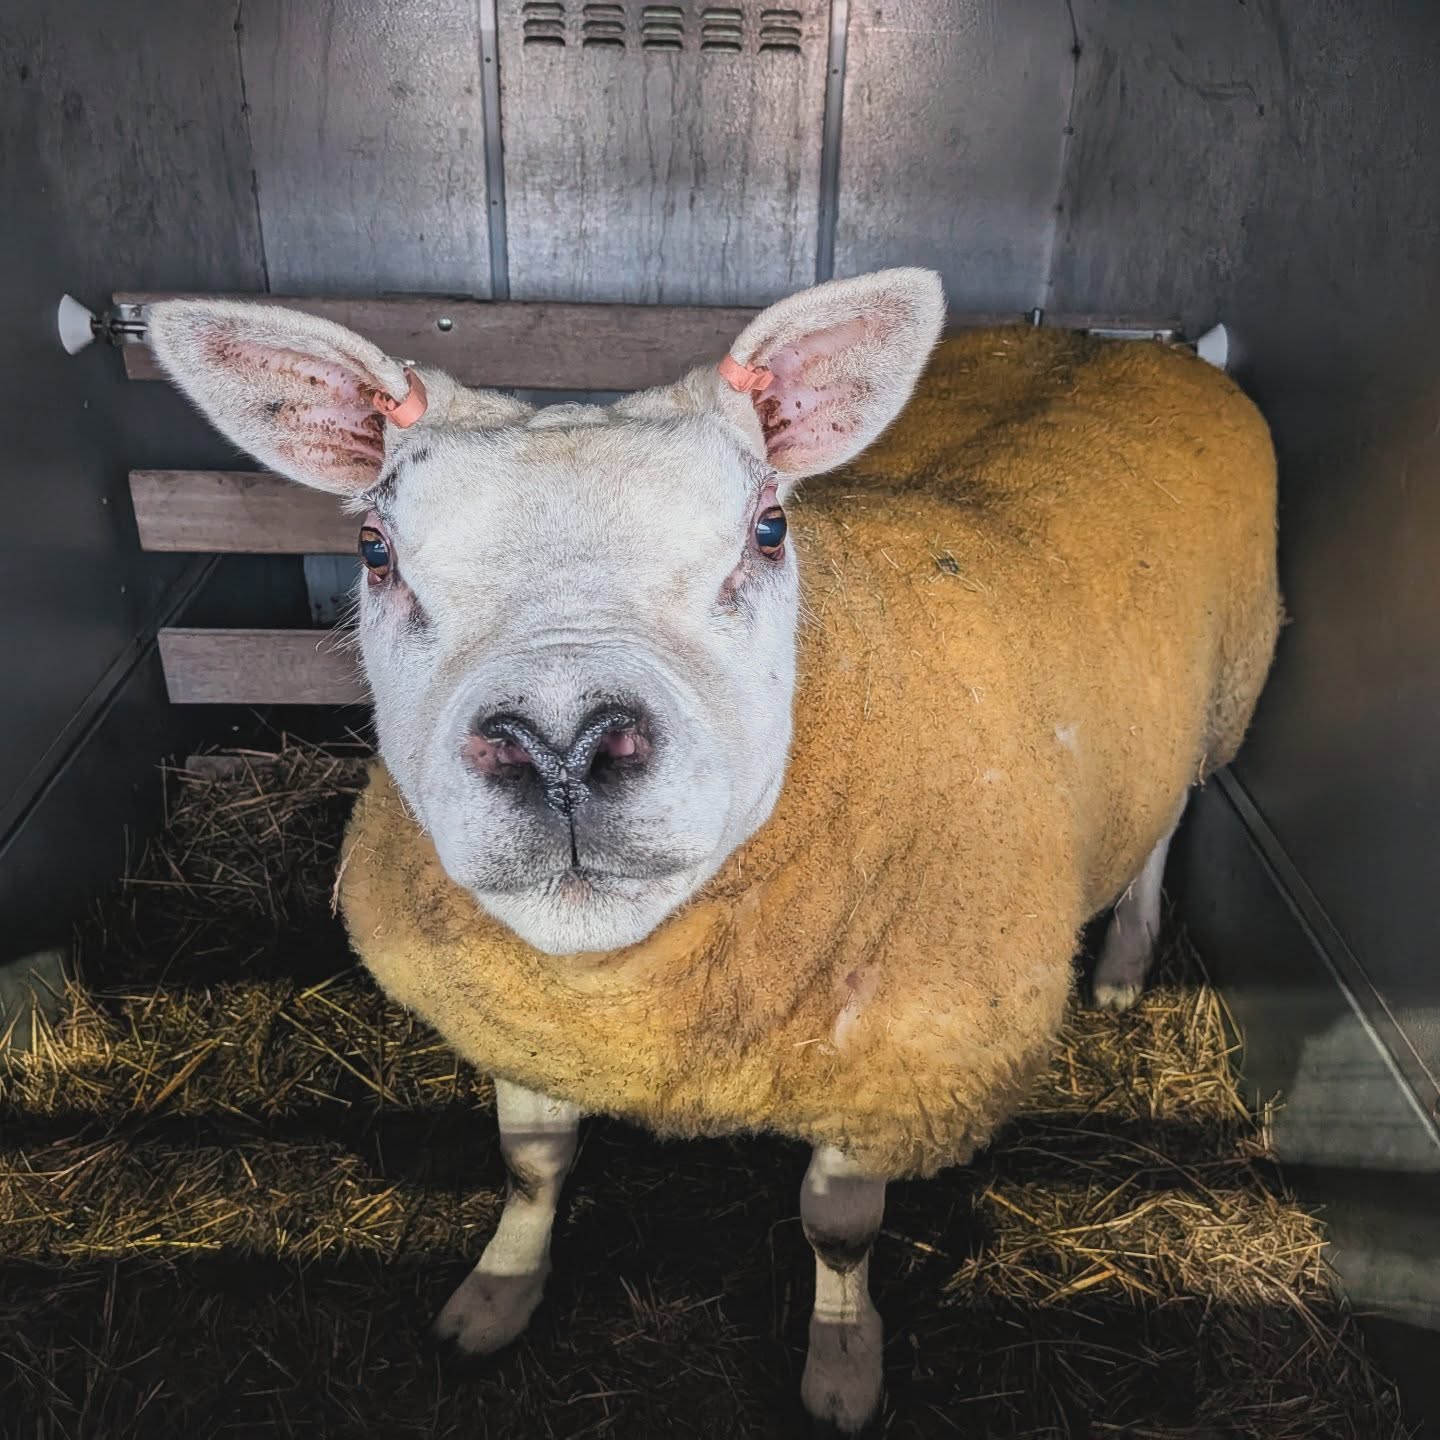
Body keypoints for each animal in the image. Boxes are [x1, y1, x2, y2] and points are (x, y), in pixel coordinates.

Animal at [149, 270, 1279, 1434]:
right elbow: (532, 1171)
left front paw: (841, 1365)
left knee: (1170, 817)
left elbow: (838, 1232)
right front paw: (497, 1297)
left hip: (1221, 687)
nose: (562, 743)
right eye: (377, 551)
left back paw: (1125, 964)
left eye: (771, 527)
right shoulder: (516, 1021)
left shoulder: (888, 1070)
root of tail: (1118, 346)